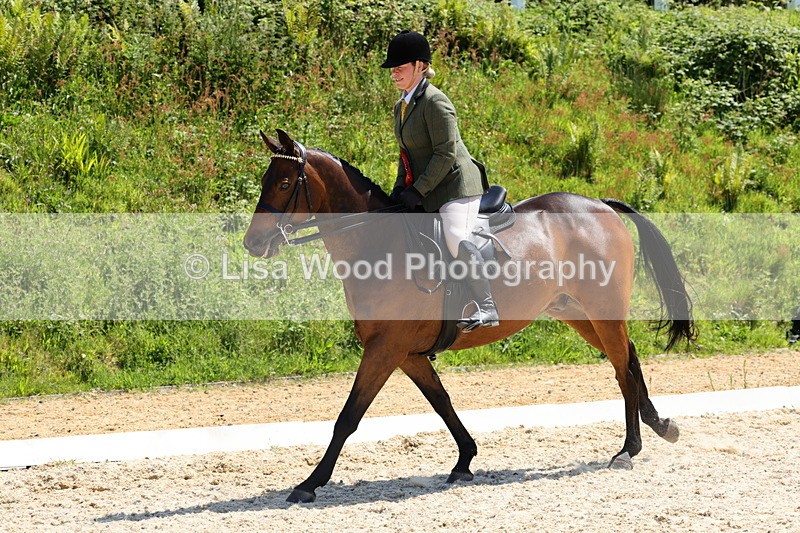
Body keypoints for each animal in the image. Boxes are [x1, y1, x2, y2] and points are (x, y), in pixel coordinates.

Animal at [243, 129, 696, 503]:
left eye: (284, 183)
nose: (252, 244)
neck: (377, 245)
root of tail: (599, 203)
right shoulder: (406, 353)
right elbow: (441, 402)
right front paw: (465, 460)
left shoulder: (384, 349)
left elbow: (348, 416)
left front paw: (309, 483)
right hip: (576, 312)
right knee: (630, 357)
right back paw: (660, 426)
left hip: (602, 309)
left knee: (622, 369)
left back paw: (628, 450)